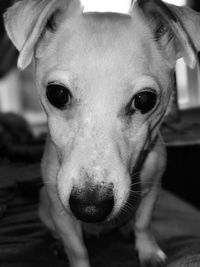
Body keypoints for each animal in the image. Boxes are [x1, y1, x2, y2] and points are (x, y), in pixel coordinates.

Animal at [4, 0, 200, 266]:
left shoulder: (152, 190)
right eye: (57, 94)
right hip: (44, 206)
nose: (90, 208)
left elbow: (143, 224)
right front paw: (71, 250)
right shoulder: (60, 212)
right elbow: (77, 250)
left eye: (145, 100)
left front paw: (148, 251)